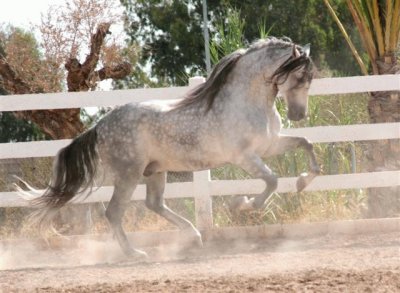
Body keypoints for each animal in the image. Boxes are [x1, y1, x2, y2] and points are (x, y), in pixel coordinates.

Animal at [25, 37, 318, 256]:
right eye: (300, 76)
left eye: (310, 77)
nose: (299, 115)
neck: (246, 102)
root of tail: (99, 126)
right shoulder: (245, 157)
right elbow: (272, 181)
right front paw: (242, 204)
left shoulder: (269, 145)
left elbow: (306, 144)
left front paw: (303, 181)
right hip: (129, 174)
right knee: (114, 212)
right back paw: (135, 254)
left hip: (155, 171)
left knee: (154, 204)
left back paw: (194, 235)